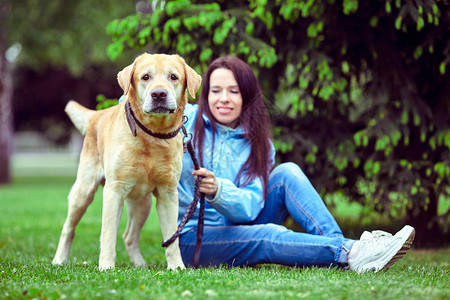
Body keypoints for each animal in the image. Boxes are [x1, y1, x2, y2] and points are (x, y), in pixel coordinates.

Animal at [51, 52, 202, 270]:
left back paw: (140, 264)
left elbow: (172, 239)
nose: (159, 94)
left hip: (142, 202)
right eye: (145, 77)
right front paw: (106, 266)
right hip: (84, 190)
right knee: (68, 228)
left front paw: (177, 267)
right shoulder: (114, 190)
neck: (152, 135)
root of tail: (97, 114)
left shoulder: (167, 193)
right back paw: (59, 259)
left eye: (173, 77)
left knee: (129, 236)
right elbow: (107, 235)